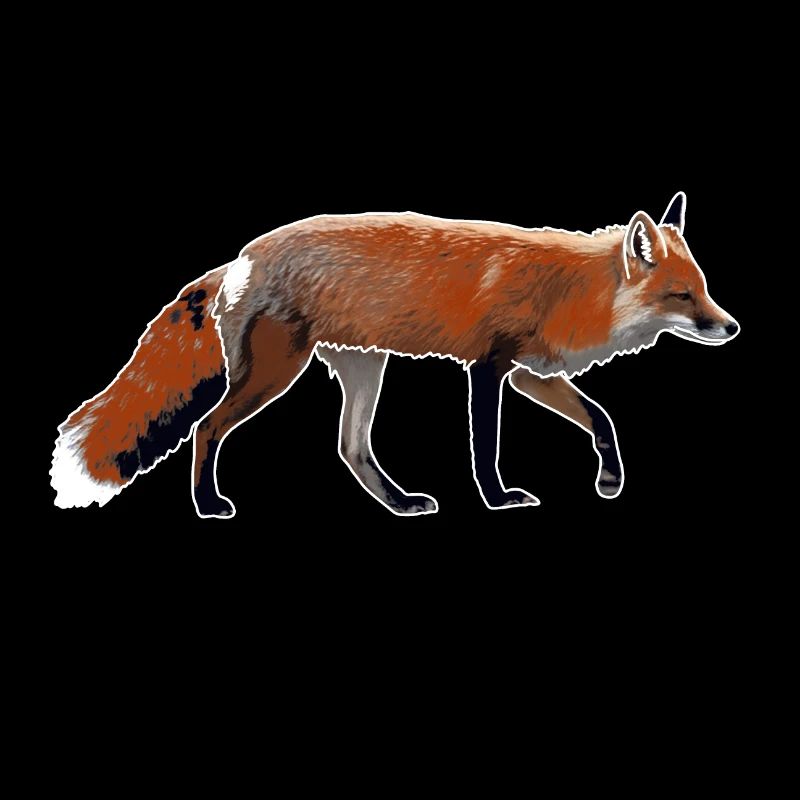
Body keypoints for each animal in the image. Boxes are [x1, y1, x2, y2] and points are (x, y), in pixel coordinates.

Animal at [51, 192, 738, 518]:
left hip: (364, 368)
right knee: (205, 429)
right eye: (683, 296)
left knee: (351, 448)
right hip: (277, 372)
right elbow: (485, 448)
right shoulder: (489, 370)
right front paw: (497, 500)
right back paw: (209, 506)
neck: (572, 291)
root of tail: (244, 256)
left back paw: (402, 504)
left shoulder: (531, 375)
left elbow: (602, 420)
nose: (731, 327)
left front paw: (610, 479)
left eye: (705, 288)